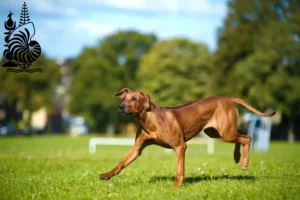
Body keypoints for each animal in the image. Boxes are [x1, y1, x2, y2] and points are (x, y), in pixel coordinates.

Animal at [99, 88, 276, 187]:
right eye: (123, 98)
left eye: (134, 99)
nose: (120, 107)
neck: (149, 120)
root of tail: (227, 98)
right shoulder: (137, 148)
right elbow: (121, 163)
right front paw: (107, 174)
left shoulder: (180, 146)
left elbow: (179, 168)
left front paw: (177, 185)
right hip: (217, 131)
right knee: (241, 134)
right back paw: (236, 156)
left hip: (225, 132)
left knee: (247, 137)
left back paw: (244, 162)